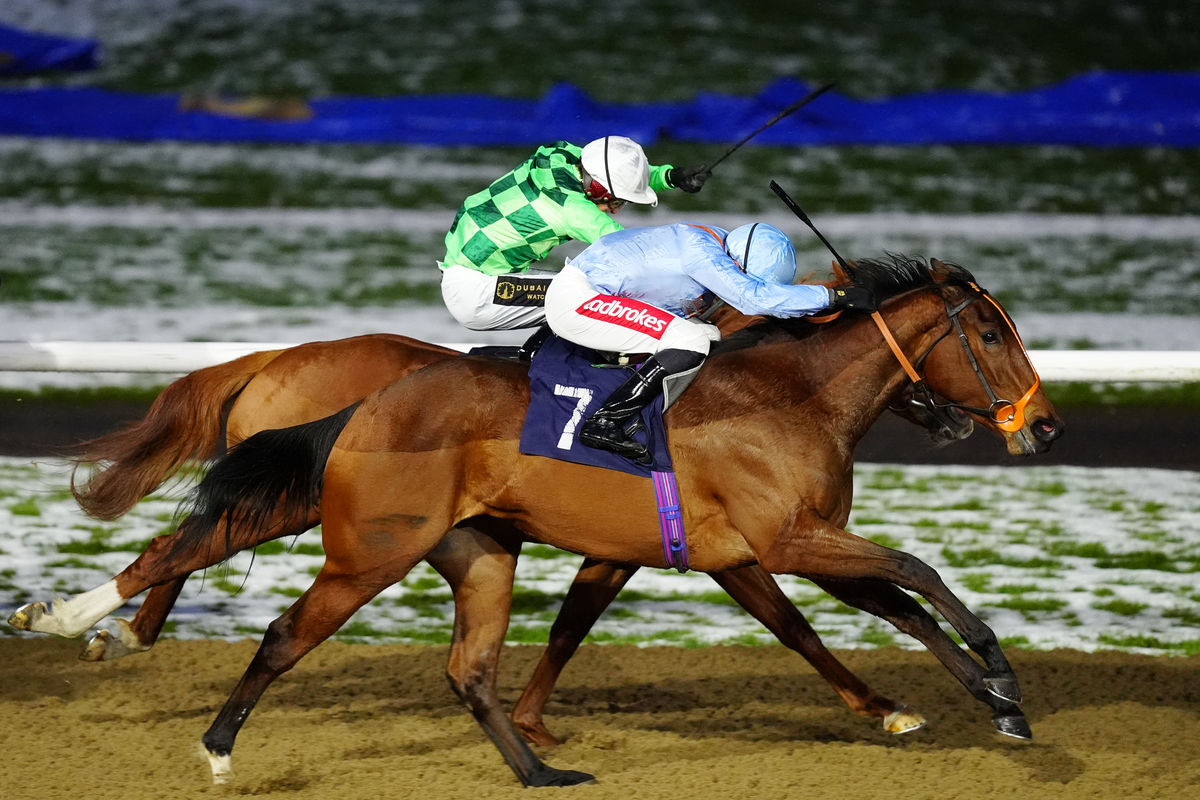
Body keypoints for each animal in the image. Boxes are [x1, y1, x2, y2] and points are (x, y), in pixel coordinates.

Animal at [13, 254, 1061, 785]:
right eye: (991, 330)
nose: (1046, 426)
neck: (786, 394)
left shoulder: (759, 546)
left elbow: (890, 608)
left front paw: (969, 704)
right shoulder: (776, 542)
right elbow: (902, 581)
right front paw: (997, 678)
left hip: (431, 537)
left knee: (195, 546)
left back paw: (80, 621)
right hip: (368, 540)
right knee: (233, 585)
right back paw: (122, 659)